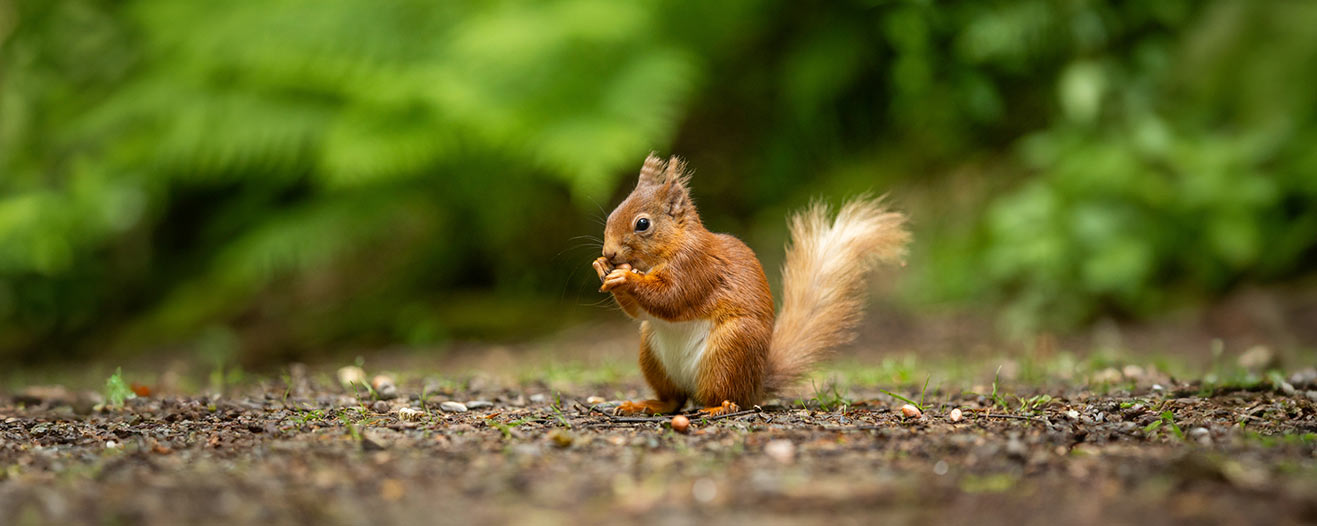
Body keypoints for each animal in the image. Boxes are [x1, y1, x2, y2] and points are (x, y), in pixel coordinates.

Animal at [592, 153, 910, 416]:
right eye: (612, 215)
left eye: (642, 224)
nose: (610, 252)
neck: (674, 243)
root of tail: (756, 384)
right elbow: (640, 311)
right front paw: (600, 266)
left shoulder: (696, 267)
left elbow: (670, 297)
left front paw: (625, 277)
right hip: (653, 354)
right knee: (674, 400)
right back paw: (643, 405)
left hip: (730, 350)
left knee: (729, 397)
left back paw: (720, 407)